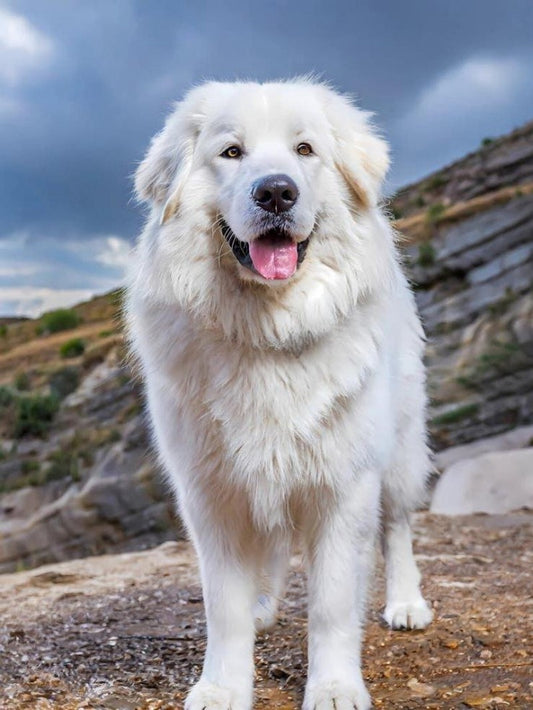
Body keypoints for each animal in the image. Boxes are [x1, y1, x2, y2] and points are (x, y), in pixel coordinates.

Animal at [128, 80, 432, 708]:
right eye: (232, 152)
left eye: (305, 149)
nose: (275, 191)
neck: (267, 330)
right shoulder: (212, 493)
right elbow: (225, 608)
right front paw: (222, 687)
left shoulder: (345, 486)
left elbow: (332, 605)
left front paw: (335, 687)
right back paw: (264, 604)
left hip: (399, 453)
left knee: (397, 528)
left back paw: (406, 603)